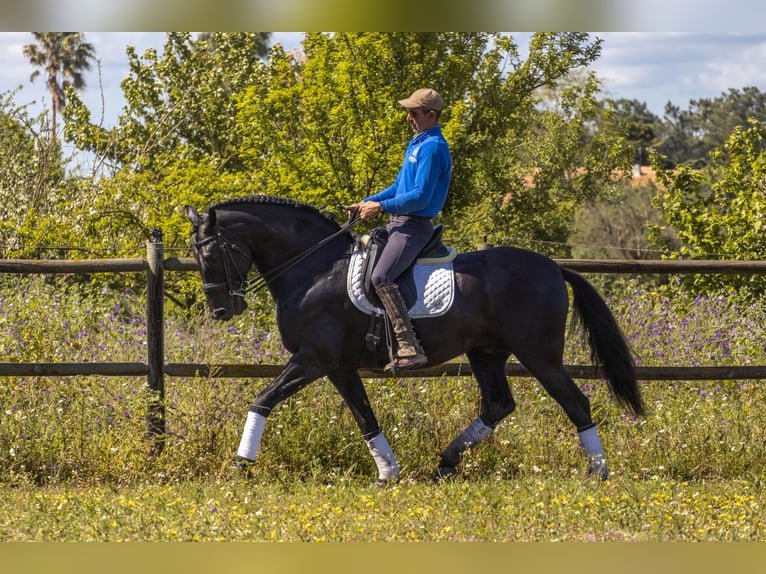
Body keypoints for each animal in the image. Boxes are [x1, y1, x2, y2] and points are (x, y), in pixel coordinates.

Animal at [184, 196, 640, 484]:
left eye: (209, 253)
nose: (221, 311)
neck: (314, 269)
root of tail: (554, 267)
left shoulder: (312, 359)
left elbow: (262, 399)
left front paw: (241, 465)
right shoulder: (338, 367)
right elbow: (365, 418)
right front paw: (388, 473)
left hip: (539, 355)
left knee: (576, 403)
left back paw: (597, 472)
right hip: (486, 352)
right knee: (498, 405)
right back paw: (445, 463)